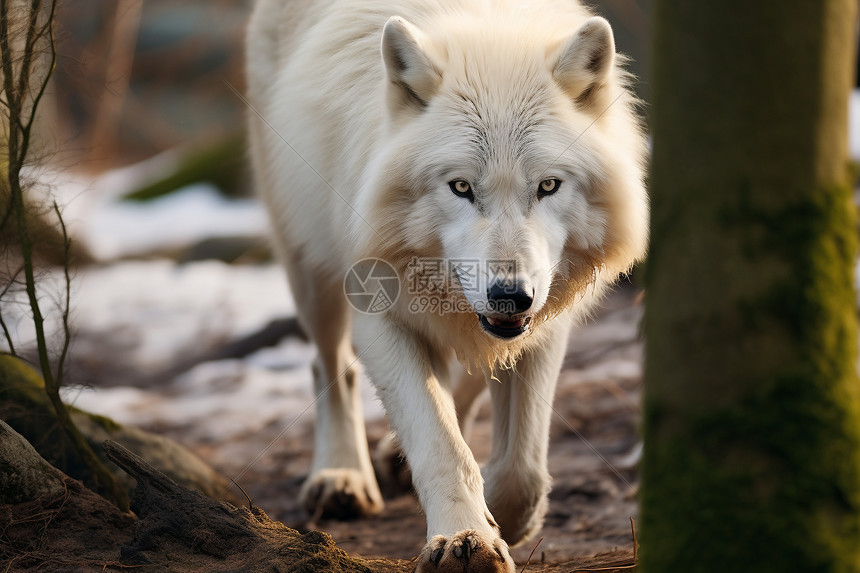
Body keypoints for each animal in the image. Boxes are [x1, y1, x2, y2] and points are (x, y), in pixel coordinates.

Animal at [245, 1, 640, 568]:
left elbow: (520, 463)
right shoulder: (379, 313)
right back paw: (342, 475)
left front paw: (504, 518)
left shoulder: (544, 314)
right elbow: (440, 444)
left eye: (548, 185)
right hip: (308, 263)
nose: (508, 295)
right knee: (329, 363)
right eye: (460, 187)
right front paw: (465, 538)